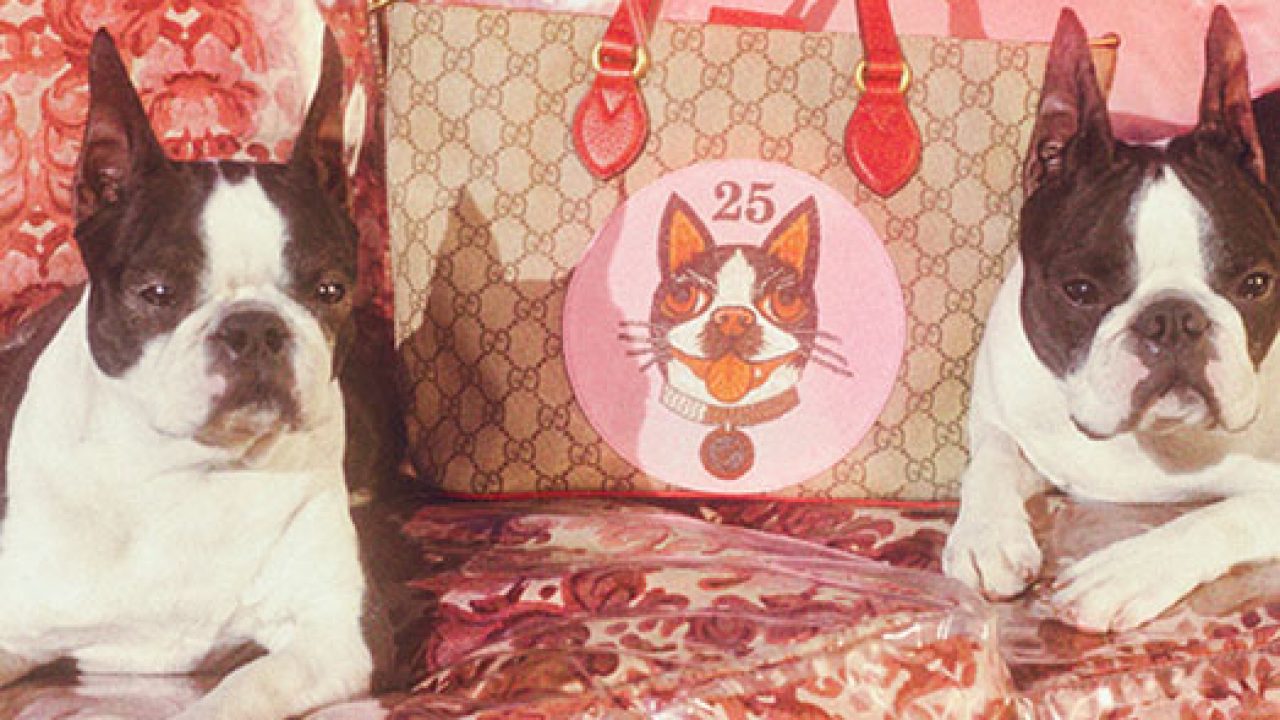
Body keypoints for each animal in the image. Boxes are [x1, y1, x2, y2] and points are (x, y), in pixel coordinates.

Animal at [0, 28, 410, 718]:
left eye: (330, 290)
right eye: (158, 292)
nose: (254, 328)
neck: (186, 470)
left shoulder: (339, 632)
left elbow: (245, 687)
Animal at [942, 6, 1280, 634]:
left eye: (1256, 284)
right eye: (1080, 290)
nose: (1173, 319)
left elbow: (1225, 514)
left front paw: (1128, 570)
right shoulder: (1011, 424)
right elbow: (992, 459)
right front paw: (985, 534)